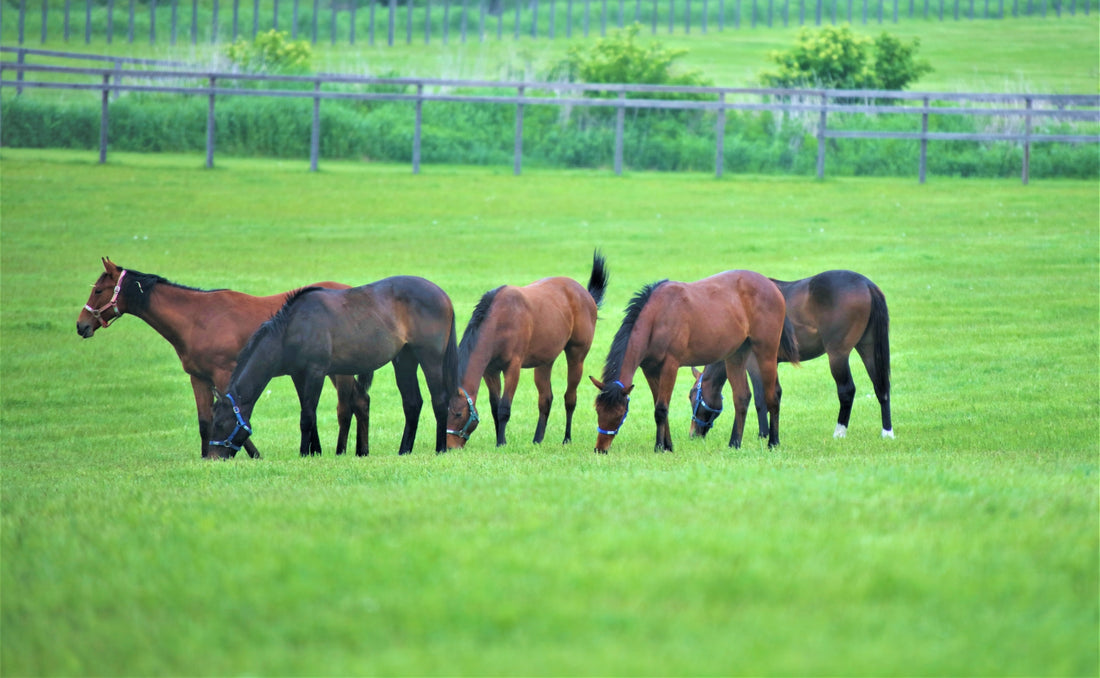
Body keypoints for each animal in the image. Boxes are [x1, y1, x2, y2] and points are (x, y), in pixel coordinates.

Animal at [78, 256, 369, 457]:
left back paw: (341, 451)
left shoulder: (224, 374)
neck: (197, 318)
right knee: (359, 401)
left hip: (338, 370)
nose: (81, 325)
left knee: (346, 406)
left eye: (99, 290)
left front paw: (250, 453)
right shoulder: (199, 378)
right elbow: (205, 421)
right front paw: (206, 456)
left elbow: (234, 414)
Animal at [207, 276, 457, 460]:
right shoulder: (298, 375)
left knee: (439, 400)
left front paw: (304, 453)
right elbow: (309, 414)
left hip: (430, 359)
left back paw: (440, 449)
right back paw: (404, 451)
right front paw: (313, 452)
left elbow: (307, 416)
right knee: (412, 403)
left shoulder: (315, 373)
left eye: (220, 423)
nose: (212, 457)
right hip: (404, 361)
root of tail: (442, 294)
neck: (292, 328)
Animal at [444, 252, 611, 446]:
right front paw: (499, 439)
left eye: (458, 413)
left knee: (570, 398)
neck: (499, 320)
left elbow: (504, 408)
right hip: (544, 362)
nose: (448, 447)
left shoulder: (512, 368)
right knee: (545, 399)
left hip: (576, 356)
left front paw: (501, 443)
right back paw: (537, 439)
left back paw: (566, 439)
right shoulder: (490, 371)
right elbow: (495, 407)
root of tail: (585, 294)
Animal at [594, 267, 800, 453]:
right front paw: (668, 445)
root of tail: (770, 285)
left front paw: (659, 447)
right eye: (597, 410)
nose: (600, 449)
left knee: (772, 395)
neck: (657, 316)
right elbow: (659, 406)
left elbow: (661, 409)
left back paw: (773, 442)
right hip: (736, 356)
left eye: (619, 414)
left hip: (766, 353)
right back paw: (734, 444)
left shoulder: (670, 366)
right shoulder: (650, 370)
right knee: (741, 397)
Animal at [686, 268, 893, 440]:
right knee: (881, 387)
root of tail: (867, 284)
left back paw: (839, 432)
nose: (693, 434)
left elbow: (759, 399)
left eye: (691, 395)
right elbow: (773, 394)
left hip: (838, 355)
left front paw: (763, 434)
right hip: (868, 348)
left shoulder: (753, 365)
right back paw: (887, 432)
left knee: (847, 390)